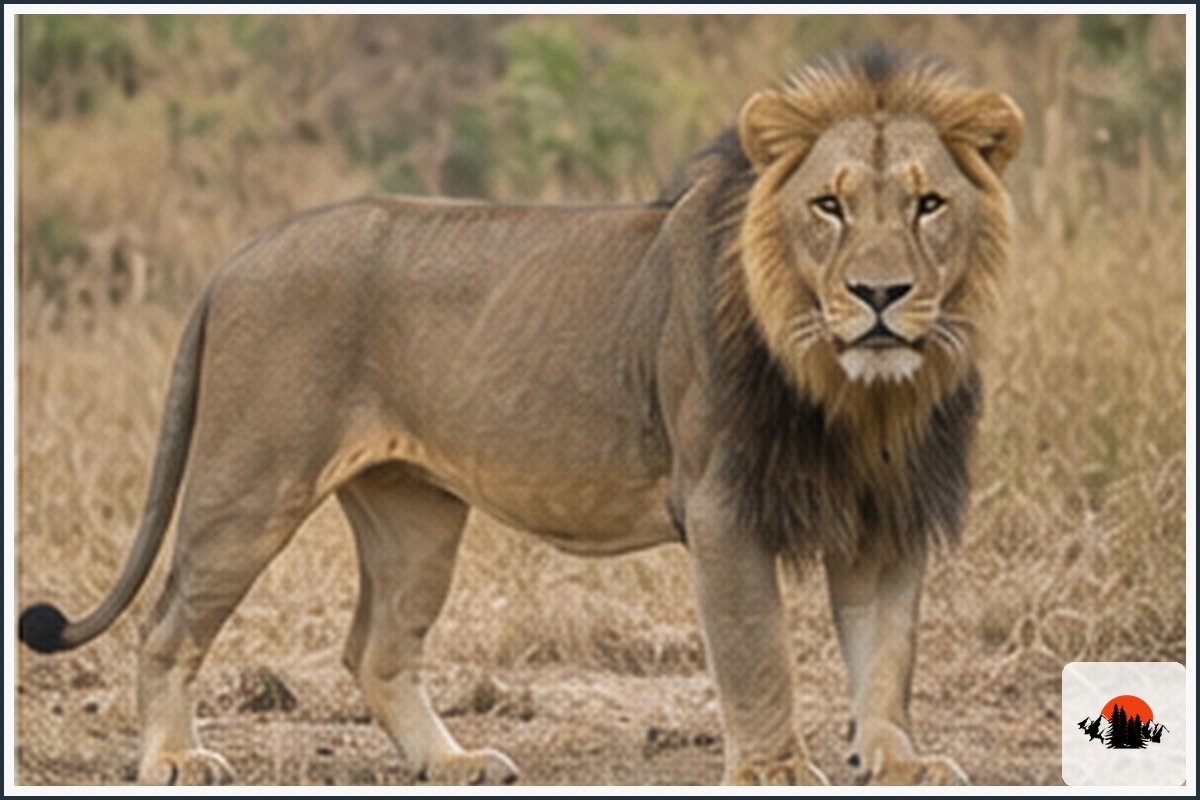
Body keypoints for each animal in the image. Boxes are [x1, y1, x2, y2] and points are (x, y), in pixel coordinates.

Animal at [20, 48, 1022, 786]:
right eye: (829, 206)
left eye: (929, 205)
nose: (881, 294)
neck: (860, 393)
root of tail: (239, 255)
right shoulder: (722, 506)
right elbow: (758, 654)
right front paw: (777, 773)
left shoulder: (888, 516)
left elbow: (888, 655)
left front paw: (899, 763)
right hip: (252, 482)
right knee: (167, 623)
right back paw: (174, 760)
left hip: (413, 509)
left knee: (376, 649)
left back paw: (454, 763)